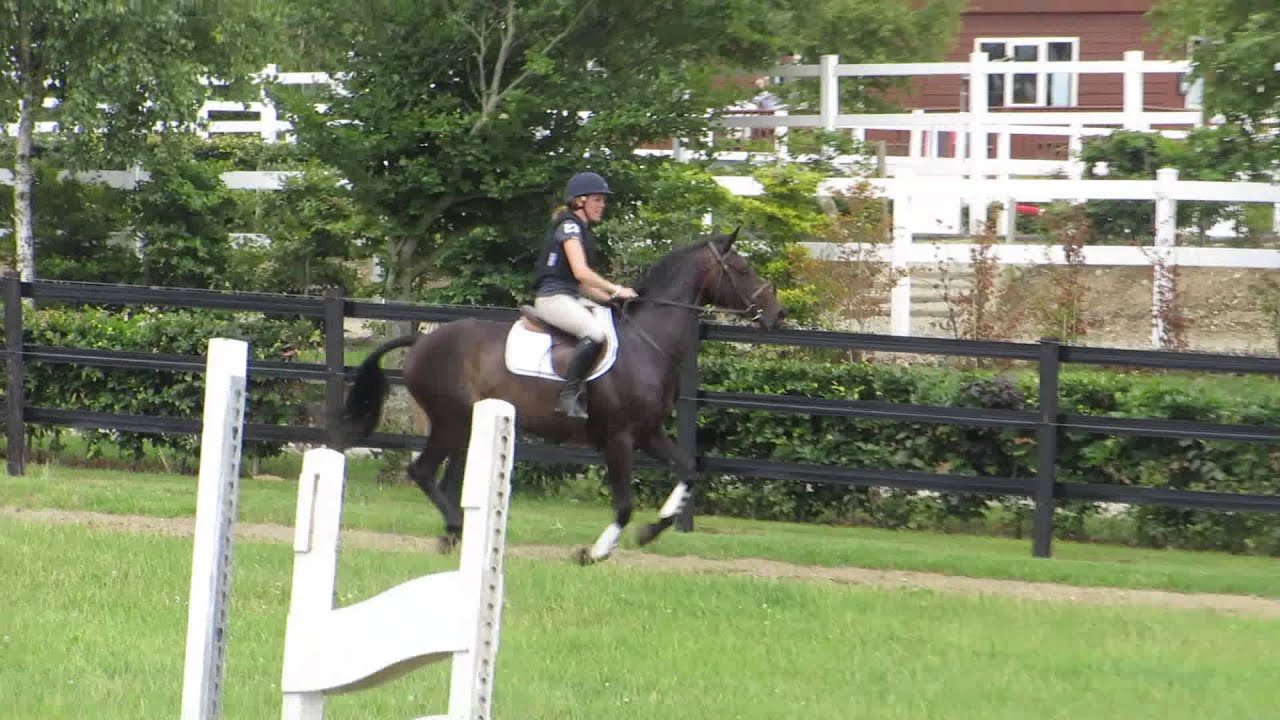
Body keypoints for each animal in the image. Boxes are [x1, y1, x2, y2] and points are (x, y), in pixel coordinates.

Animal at [338, 229, 785, 564]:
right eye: (742, 268)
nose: (777, 315)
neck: (648, 341)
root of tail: (422, 341)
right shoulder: (619, 438)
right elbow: (624, 503)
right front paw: (594, 553)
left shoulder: (649, 433)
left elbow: (689, 471)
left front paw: (651, 531)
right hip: (450, 421)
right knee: (422, 472)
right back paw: (456, 531)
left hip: (466, 426)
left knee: (447, 480)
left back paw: (455, 537)